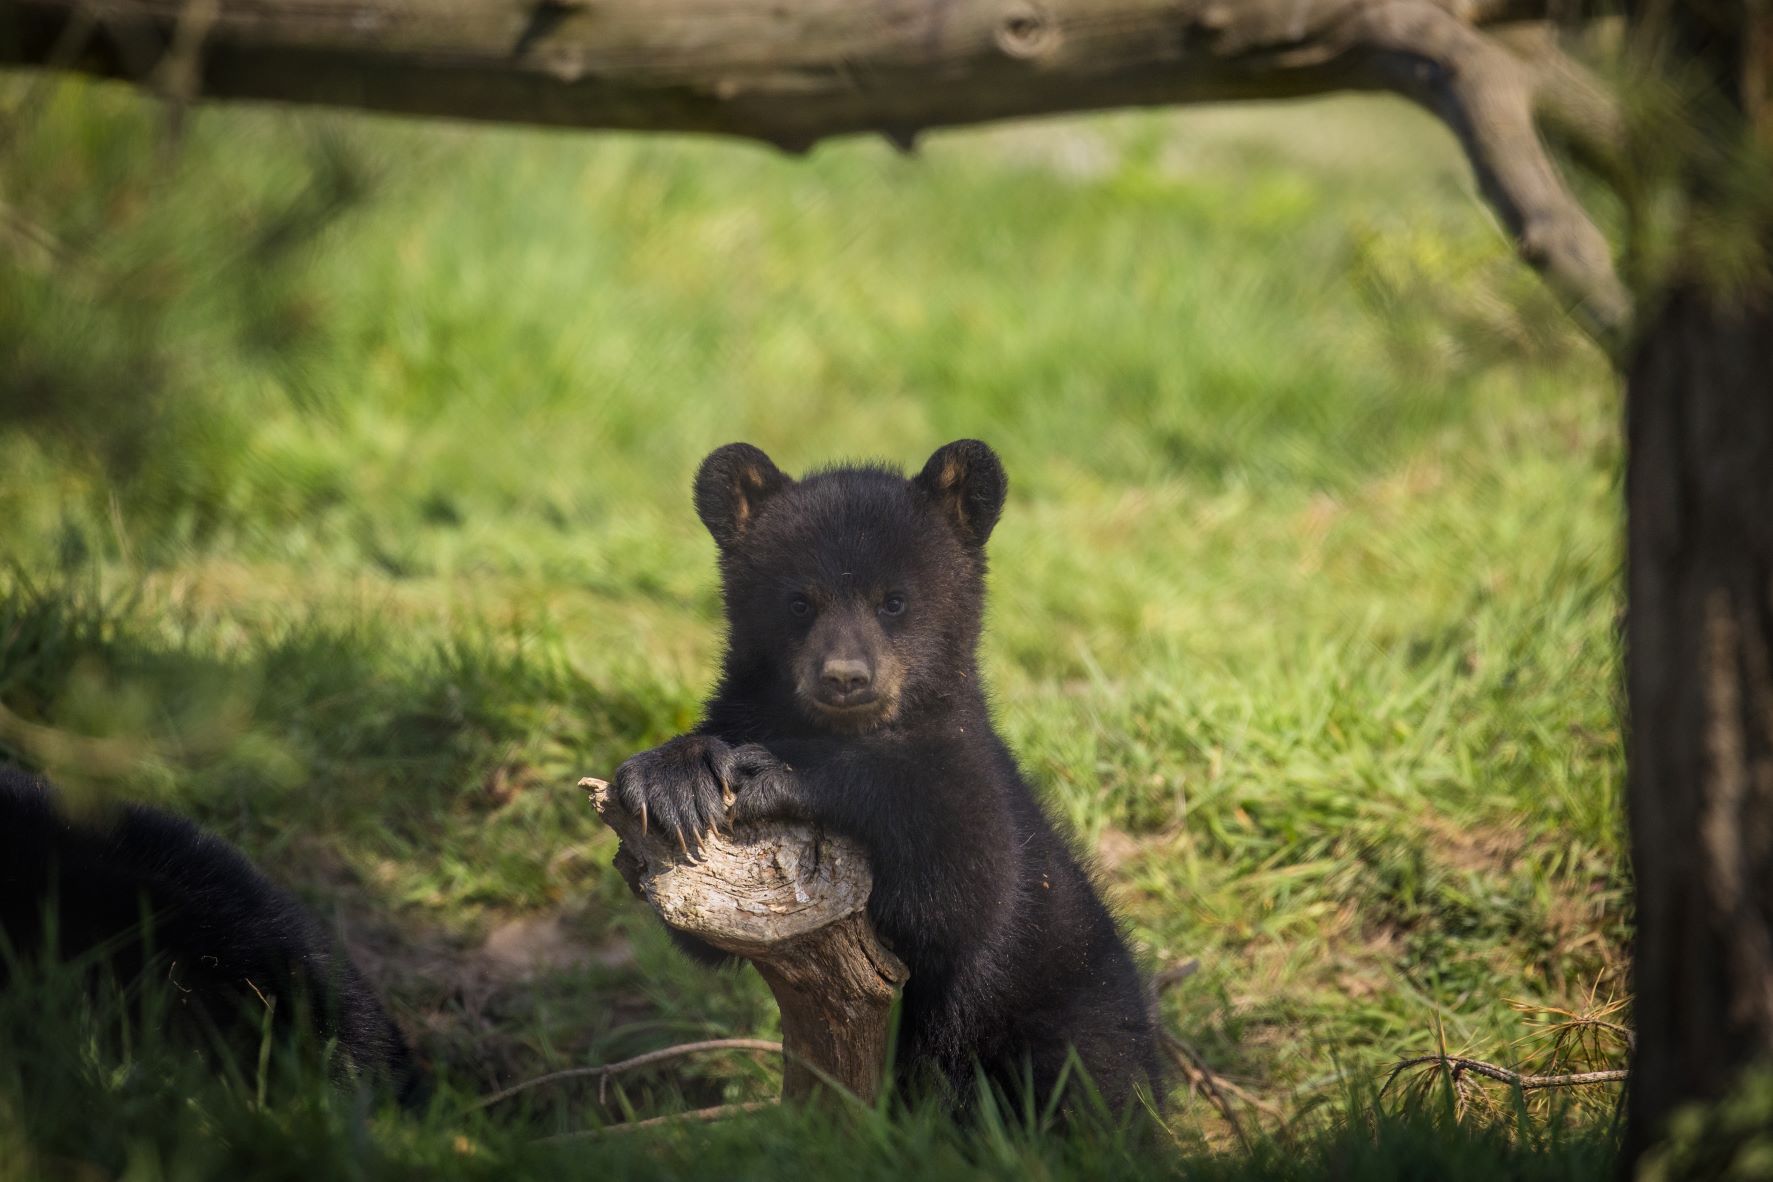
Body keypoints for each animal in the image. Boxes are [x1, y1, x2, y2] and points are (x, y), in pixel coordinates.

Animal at [620, 441, 1163, 1119]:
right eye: (799, 602)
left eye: (894, 601)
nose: (845, 676)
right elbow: (704, 934)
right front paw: (672, 781)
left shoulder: (974, 775)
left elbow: (966, 887)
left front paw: (775, 773)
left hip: (1074, 1006)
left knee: (1092, 1086)